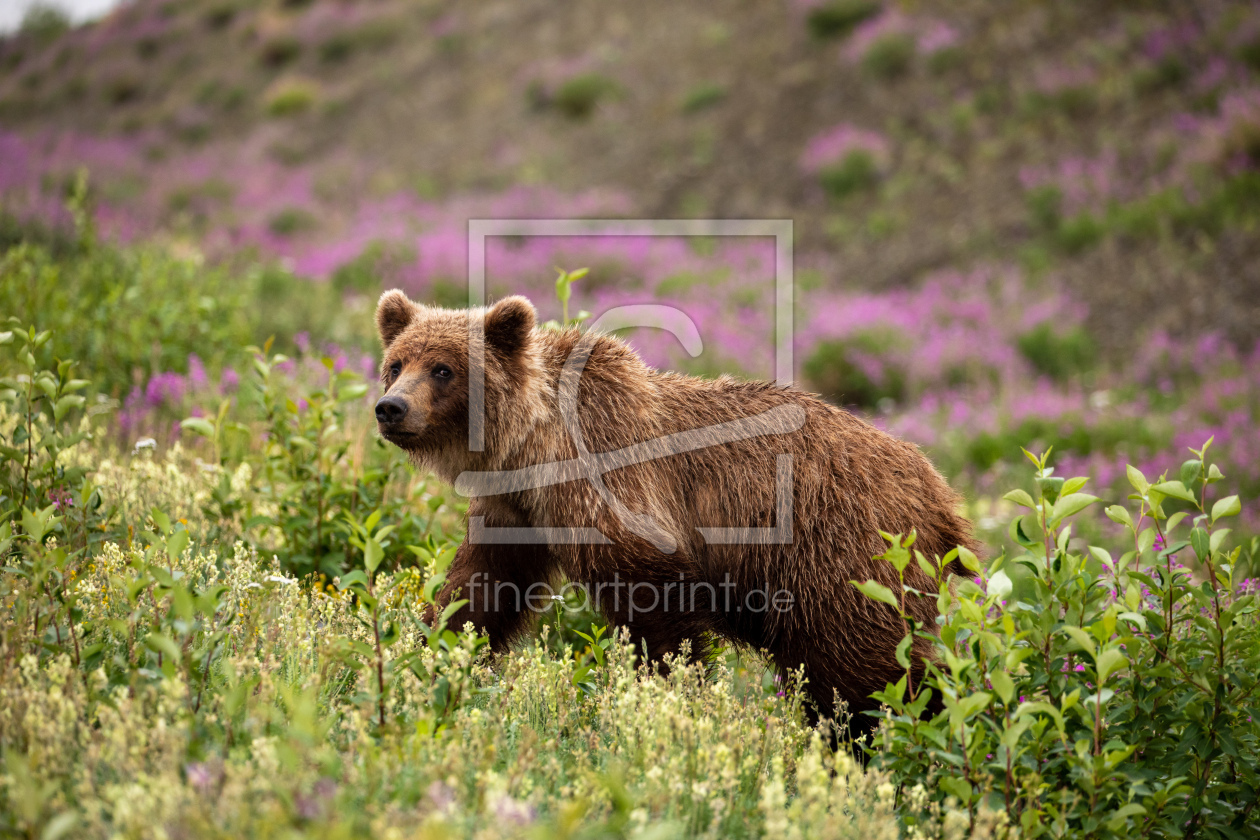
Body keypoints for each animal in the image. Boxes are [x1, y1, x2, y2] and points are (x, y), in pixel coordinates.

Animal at [372, 289, 982, 730]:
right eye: (396, 362)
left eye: (443, 369)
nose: (390, 407)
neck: (533, 447)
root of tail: (941, 492)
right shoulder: (515, 510)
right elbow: (476, 593)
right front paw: (421, 659)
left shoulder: (612, 480)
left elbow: (657, 604)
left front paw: (672, 695)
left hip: (842, 553)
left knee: (869, 667)